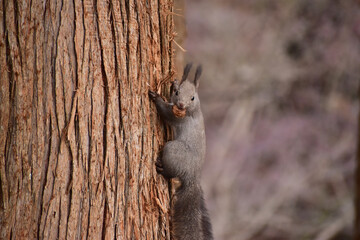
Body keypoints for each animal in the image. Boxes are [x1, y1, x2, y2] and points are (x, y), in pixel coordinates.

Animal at [149, 63, 214, 240]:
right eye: (177, 92)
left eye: (192, 97)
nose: (181, 106)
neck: (194, 109)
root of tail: (193, 176)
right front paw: (173, 83)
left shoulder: (179, 117)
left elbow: (166, 112)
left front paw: (156, 98)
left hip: (173, 150)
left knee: (171, 172)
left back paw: (162, 168)